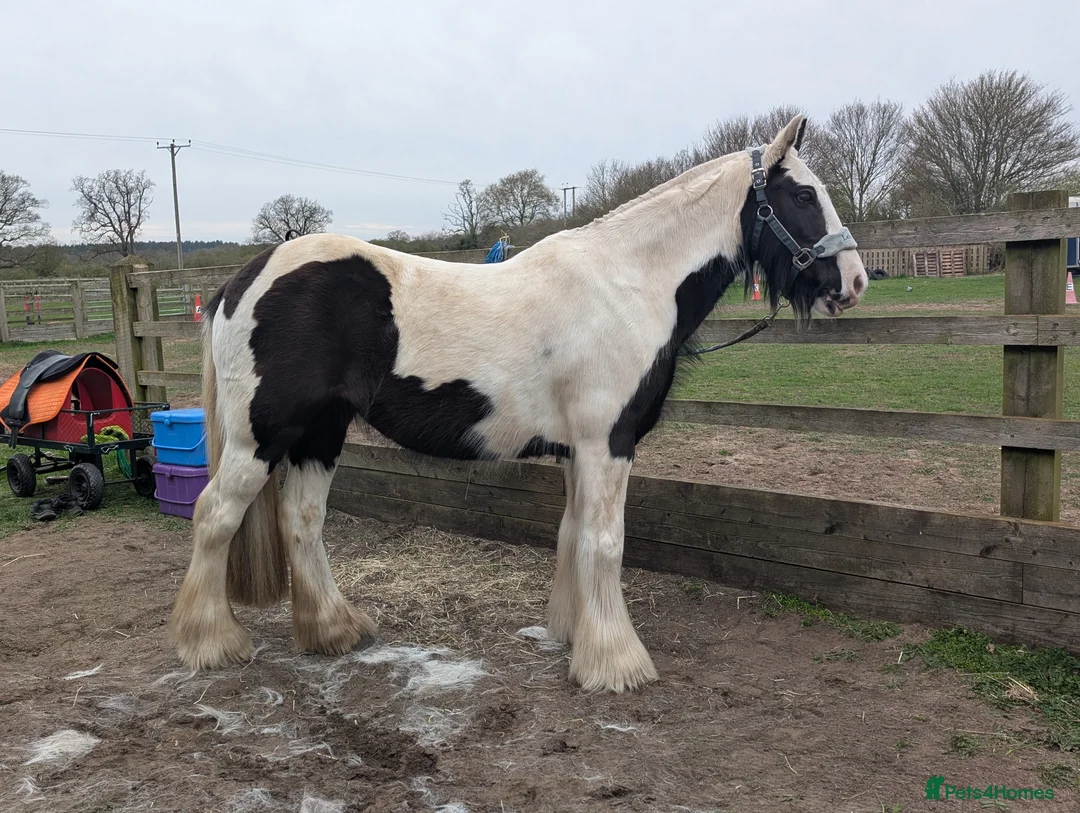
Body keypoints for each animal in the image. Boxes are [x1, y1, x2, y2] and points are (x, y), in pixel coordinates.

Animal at [169, 114, 868, 693]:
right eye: (804, 195)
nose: (855, 281)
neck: (627, 286)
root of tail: (242, 281)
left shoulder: (577, 451)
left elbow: (572, 534)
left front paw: (575, 636)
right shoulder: (608, 445)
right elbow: (605, 543)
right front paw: (617, 664)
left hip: (320, 434)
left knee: (303, 520)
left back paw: (334, 630)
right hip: (260, 438)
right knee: (215, 515)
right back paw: (211, 643)